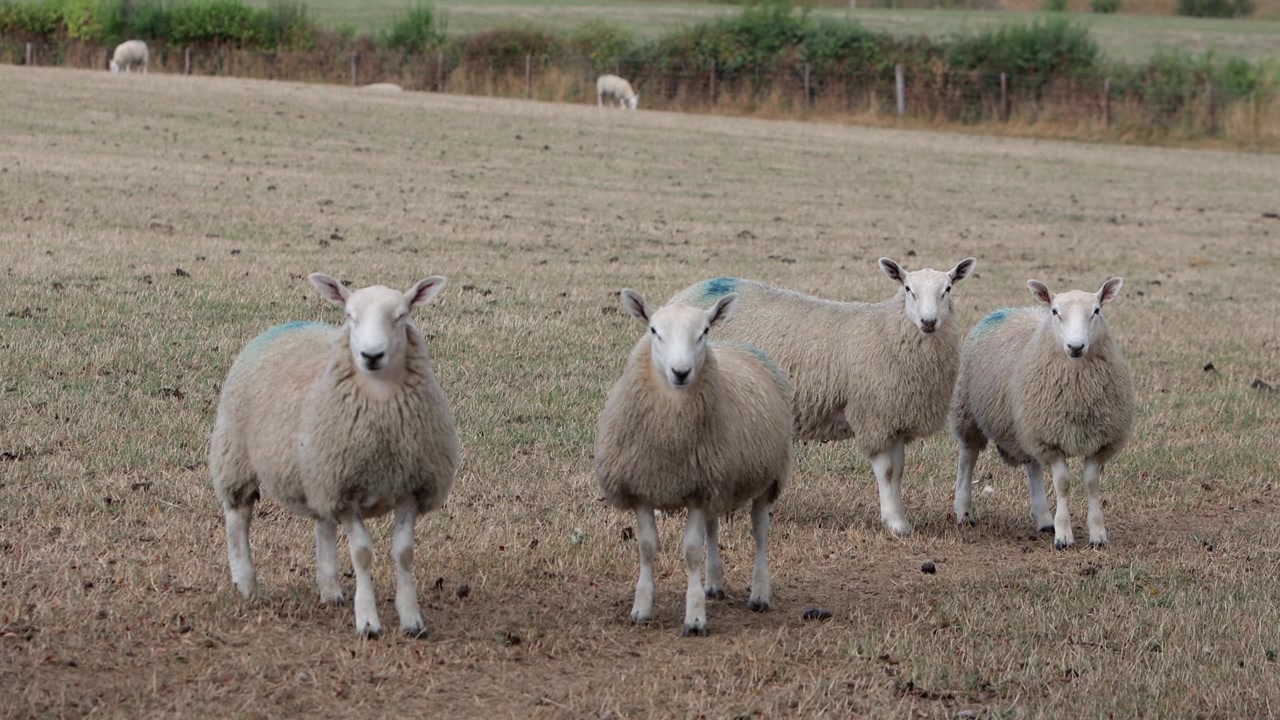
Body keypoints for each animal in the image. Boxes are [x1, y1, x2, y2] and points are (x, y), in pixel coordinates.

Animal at [209, 273, 460, 637]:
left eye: (401, 316)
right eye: (350, 316)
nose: (371, 355)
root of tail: (289, 323)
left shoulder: (408, 488)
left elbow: (405, 553)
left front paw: (412, 620)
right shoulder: (346, 492)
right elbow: (362, 553)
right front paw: (368, 621)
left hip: (317, 472)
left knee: (323, 523)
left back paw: (330, 589)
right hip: (236, 453)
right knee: (238, 517)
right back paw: (246, 584)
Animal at [595, 290, 791, 637]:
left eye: (704, 332)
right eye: (654, 331)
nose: (681, 372)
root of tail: (737, 344)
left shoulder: (699, 492)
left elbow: (691, 552)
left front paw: (695, 618)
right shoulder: (646, 488)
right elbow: (647, 547)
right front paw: (642, 608)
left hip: (768, 478)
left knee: (759, 533)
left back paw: (759, 594)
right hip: (717, 481)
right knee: (714, 527)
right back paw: (714, 584)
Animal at [672, 257, 977, 537]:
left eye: (948, 289)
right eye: (908, 289)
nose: (928, 322)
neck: (889, 330)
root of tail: (684, 296)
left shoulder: (894, 419)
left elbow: (899, 471)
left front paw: (898, 517)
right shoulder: (873, 416)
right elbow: (887, 471)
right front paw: (895, 524)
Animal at [949, 278, 1135, 549]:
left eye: (1097, 311)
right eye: (1055, 312)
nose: (1076, 346)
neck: (1078, 389)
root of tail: (1009, 309)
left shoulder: (1098, 441)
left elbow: (1091, 483)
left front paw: (1097, 534)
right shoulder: (1050, 439)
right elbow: (1063, 483)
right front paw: (1064, 536)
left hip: (1027, 425)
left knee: (1032, 465)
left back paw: (1044, 517)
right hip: (969, 413)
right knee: (967, 457)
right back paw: (964, 511)